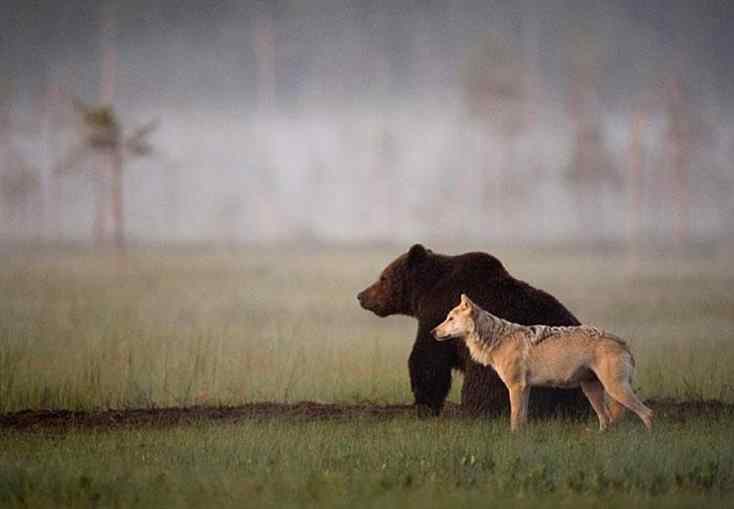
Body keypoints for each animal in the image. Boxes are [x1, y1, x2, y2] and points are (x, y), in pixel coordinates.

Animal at [360, 243, 588, 416]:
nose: (361, 295)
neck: (426, 291)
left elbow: (428, 359)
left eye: (383, 277)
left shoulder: (438, 313)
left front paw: (424, 403)